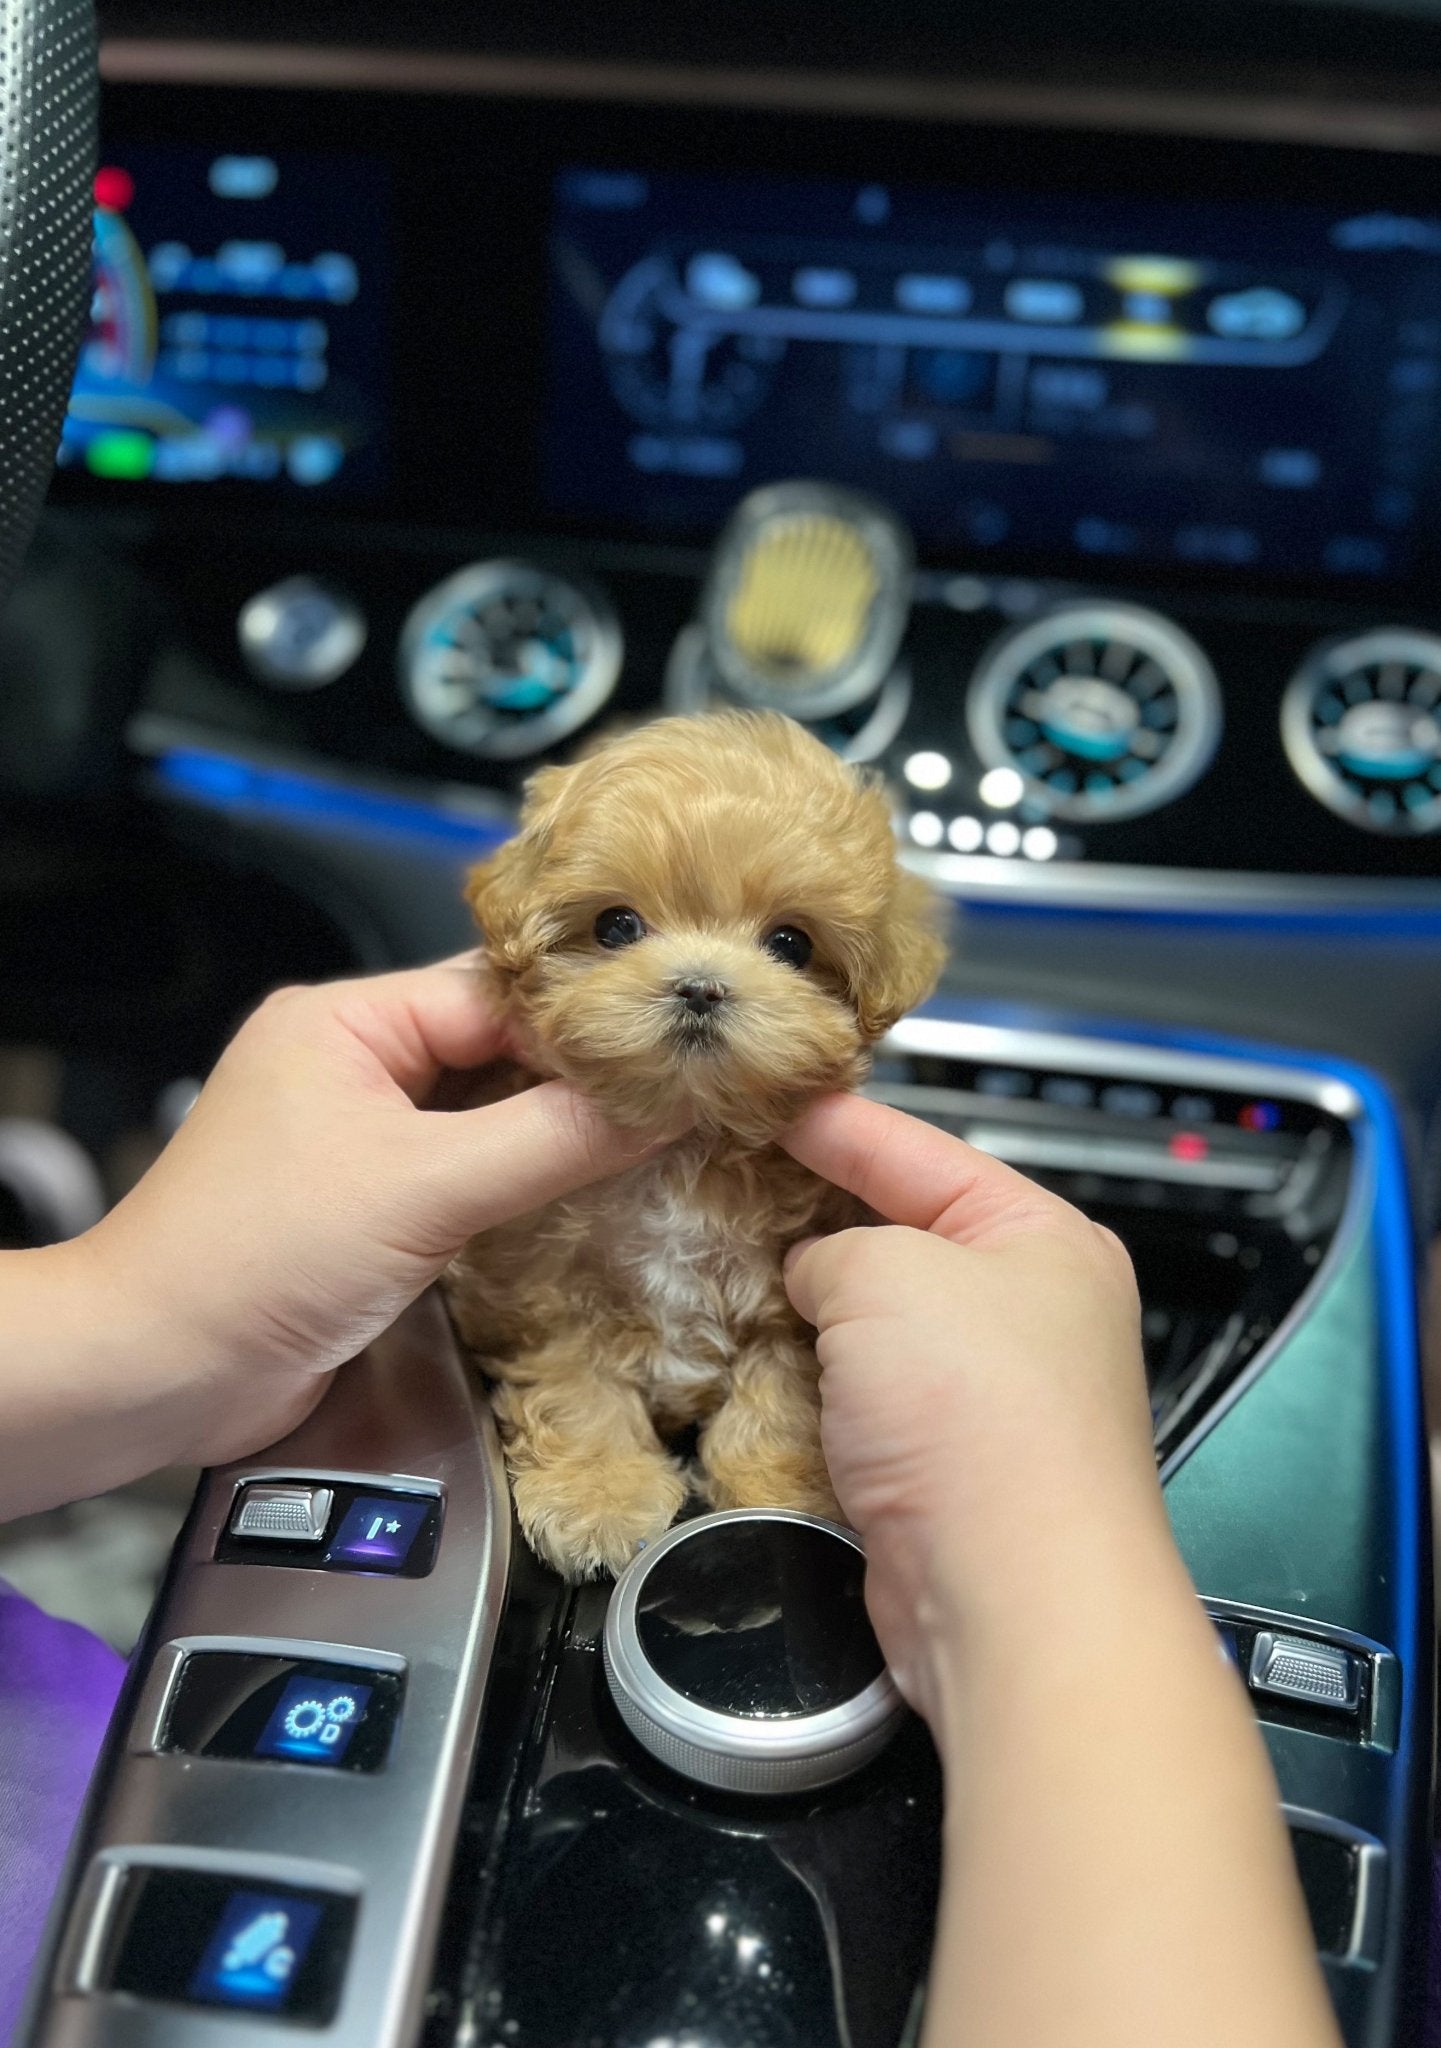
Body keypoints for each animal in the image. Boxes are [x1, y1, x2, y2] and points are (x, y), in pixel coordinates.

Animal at [444, 708, 949, 1581]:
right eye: (616, 925)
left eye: (790, 943)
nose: (700, 987)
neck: (686, 1142)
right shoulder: (537, 1290)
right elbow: (576, 1386)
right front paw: (598, 1494)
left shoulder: (786, 1307)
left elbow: (778, 1398)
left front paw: (784, 1488)